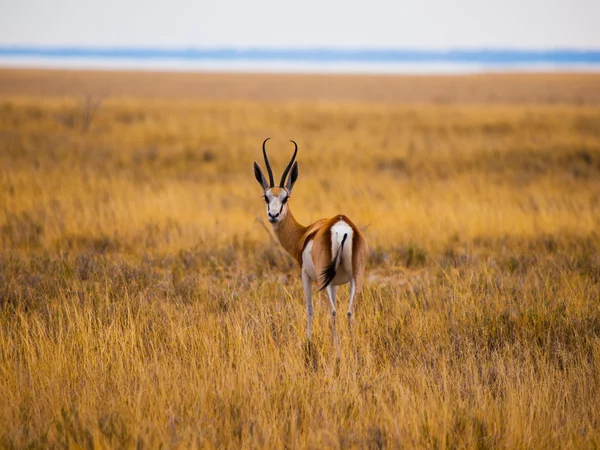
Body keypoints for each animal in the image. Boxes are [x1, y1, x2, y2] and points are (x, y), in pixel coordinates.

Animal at [252, 137, 368, 342]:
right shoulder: (335, 283)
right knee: (349, 312)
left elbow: (310, 309)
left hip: (323, 280)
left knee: (332, 313)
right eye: (266, 197)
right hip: (356, 277)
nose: (273, 215)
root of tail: (341, 227)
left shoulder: (305, 275)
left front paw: (308, 341)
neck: (304, 234)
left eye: (285, 198)